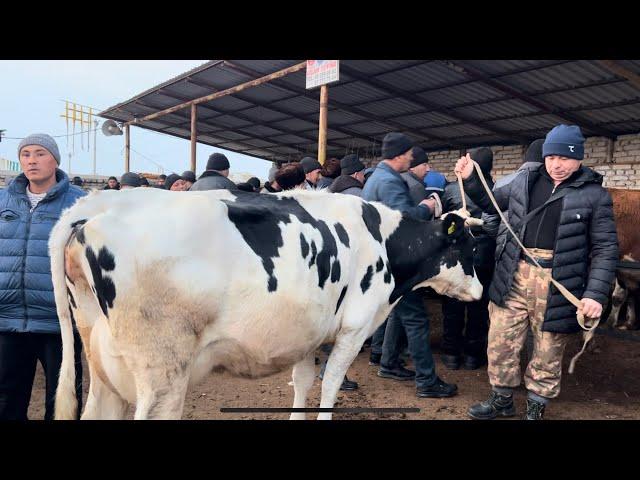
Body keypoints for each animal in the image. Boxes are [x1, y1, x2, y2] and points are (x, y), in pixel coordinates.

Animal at [52, 188, 482, 420]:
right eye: (469, 247)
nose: (480, 292)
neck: (385, 242)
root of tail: (100, 203)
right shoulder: (355, 327)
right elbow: (331, 383)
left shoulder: (307, 334)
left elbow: (303, 381)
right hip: (163, 372)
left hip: (103, 362)